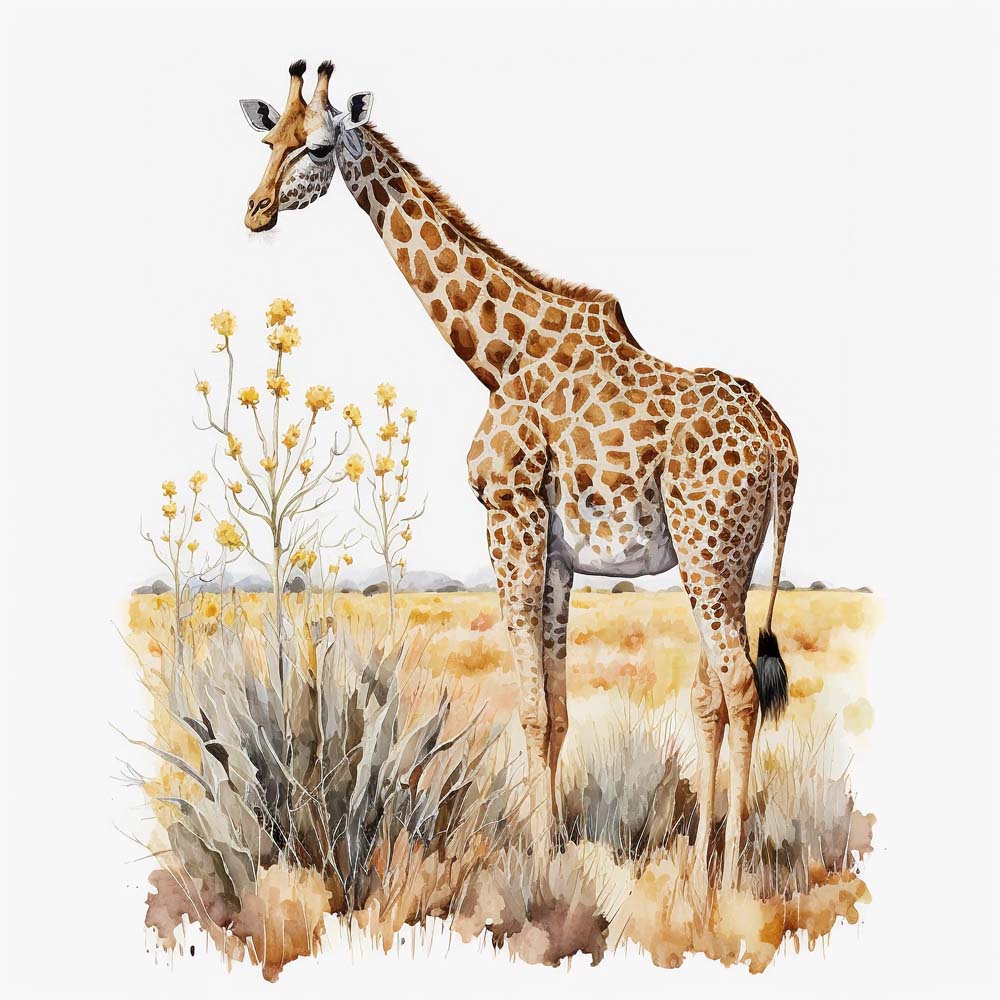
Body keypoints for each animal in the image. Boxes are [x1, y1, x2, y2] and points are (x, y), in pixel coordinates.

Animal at [240, 61, 798, 888]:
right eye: (268, 138)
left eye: (316, 148)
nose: (256, 211)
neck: (498, 357)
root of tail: (783, 443)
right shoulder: (560, 551)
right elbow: (558, 711)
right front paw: (558, 848)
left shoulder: (510, 517)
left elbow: (531, 709)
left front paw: (536, 867)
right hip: (734, 558)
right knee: (711, 692)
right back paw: (696, 862)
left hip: (705, 550)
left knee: (736, 684)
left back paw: (724, 881)